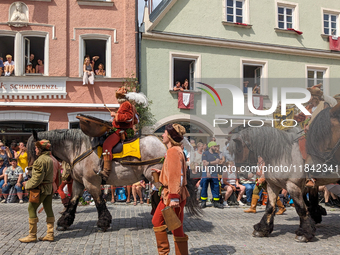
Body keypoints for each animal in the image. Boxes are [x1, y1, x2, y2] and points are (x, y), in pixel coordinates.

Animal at [27, 129, 202, 231]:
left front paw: (103, 223)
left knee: (169, 195)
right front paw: (64, 222)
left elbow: (99, 202)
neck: (79, 148)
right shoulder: (78, 183)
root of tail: (165, 143)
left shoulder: (92, 183)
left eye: (34, 150)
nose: (29, 172)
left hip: (157, 176)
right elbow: (72, 202)